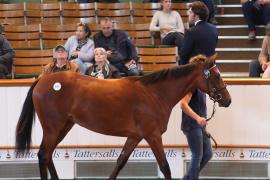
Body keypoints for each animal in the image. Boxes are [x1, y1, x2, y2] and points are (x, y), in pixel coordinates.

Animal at [15, 54, 230, 179]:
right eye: (217, 75)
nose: (228, 100)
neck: (154, 93)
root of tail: (42, 80)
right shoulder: (152, 135)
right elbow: (165, 167)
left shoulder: (135, 136)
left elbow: (120, 162)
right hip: (53, 127)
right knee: (43, 154)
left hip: (64, 126)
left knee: (48, 155)